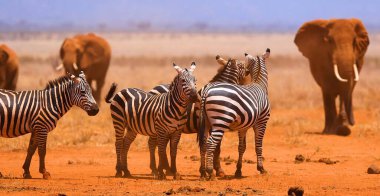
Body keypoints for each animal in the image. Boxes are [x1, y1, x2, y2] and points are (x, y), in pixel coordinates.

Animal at [197, 47, 272, 179]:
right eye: (242, 66)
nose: (247, 71)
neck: (259, 84)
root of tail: (206, 91)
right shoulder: (262, 122)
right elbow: (258, 145)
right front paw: (261, 169)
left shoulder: (243, 126)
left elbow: (241, 147)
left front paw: (238, 171)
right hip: (220, 121)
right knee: (211, 143)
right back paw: (210, 172)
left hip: (206, 122)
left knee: (204, 143)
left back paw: (203, 173)